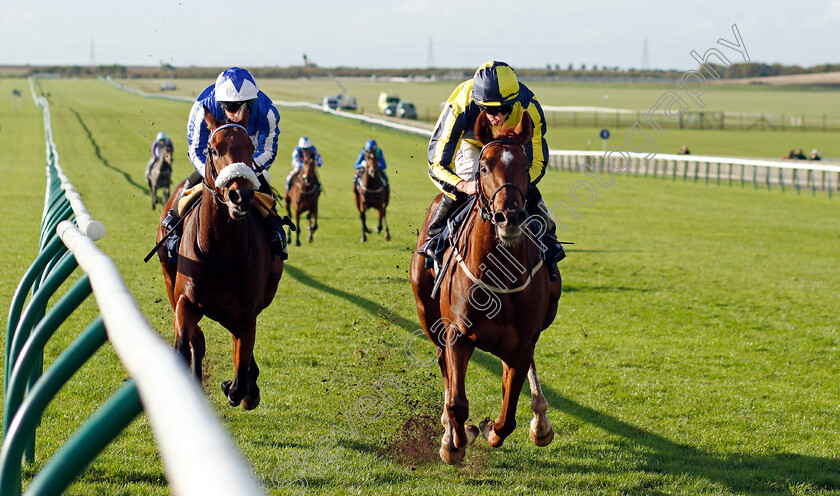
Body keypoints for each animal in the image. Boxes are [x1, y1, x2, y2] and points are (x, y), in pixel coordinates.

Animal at [153, 109, 280, 410]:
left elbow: (240, 371)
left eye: (251, 149)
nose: (240, 195)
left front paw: (241, 389)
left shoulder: (246, 314)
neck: (221, 252)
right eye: (212, 149)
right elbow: (185, 345)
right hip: (168, 279)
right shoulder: (185, 301)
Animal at [410, 111, 560, 464]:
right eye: (484, 168)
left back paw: (540, 420)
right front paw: (453, 442)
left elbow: (507, 416)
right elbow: (456, 401)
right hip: (427, 313)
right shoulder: (457, 335)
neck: (499, 276)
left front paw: (491, 428)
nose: (509, 217)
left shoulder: (522, 343)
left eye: (525, 166)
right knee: (443, 366)